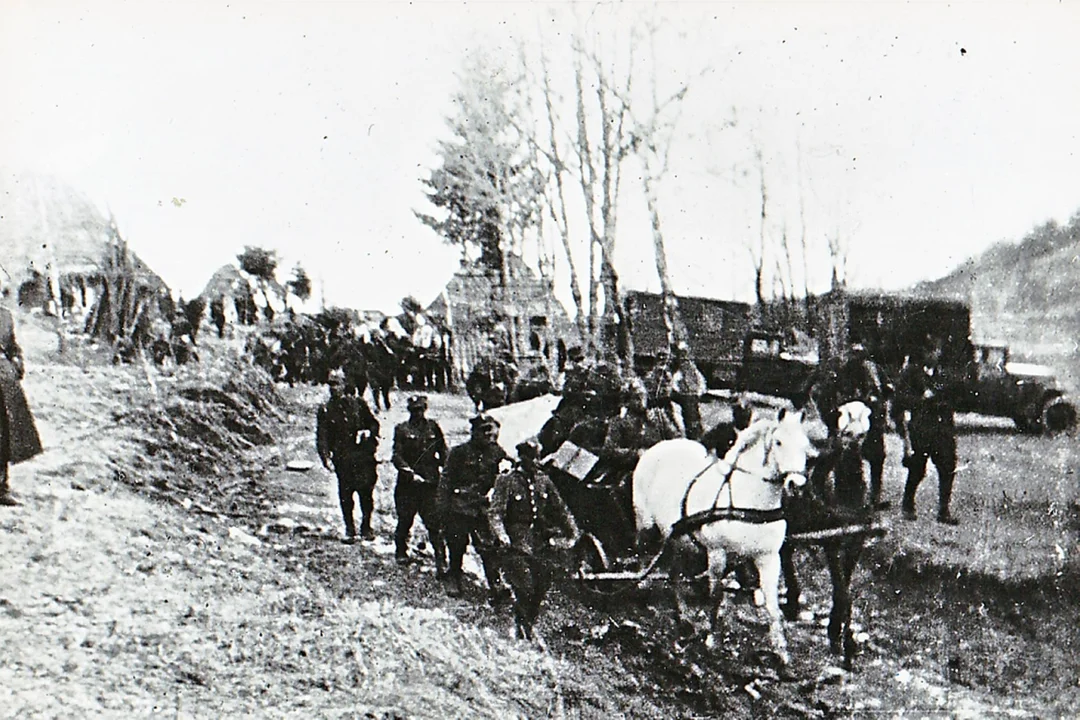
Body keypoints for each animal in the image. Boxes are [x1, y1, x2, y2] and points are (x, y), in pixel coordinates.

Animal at [630, 410, 812, 664]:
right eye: (778, 442)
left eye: (805, 445)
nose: (797, 485)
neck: (748, 499)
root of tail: (660, 446)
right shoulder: (717, 552)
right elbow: (715, 595)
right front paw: (711, 641)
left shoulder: (768, 558)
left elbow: (773, 606)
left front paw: (781, 652)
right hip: (645, 524)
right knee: (641, 552)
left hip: (679, 540)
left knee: (675, 574)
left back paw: (684, 618)